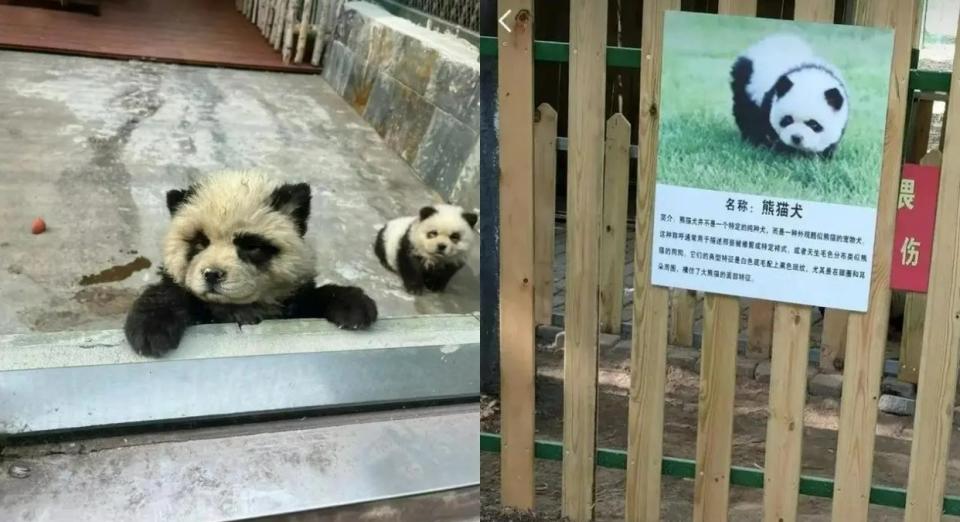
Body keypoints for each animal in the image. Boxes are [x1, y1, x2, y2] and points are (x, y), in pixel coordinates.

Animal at [126, 171, 378, 358]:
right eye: (200, 243)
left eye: (250, 246)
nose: (212, 274)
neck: (235, 307)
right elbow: (168, 292)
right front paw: (150, 330)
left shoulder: (292, 302)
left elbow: (316, 297)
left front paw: (354, 307)